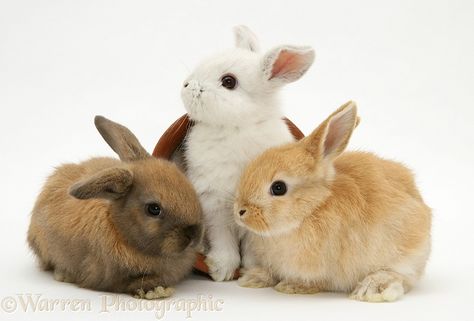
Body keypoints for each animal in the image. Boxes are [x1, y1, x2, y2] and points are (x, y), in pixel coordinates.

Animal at [181, 25, 314, 280]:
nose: (185, 85)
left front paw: (252, 269)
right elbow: (223, 240)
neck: (236, 127)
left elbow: (254, 243)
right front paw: (221, 270)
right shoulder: (214, 205)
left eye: (228, 81)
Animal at [235, 101, 432, 302]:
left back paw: (371, 289)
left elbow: (314, 281)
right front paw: (252, 278)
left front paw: (291, 286)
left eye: (278, 188)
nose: (240, 210)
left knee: (399, 276)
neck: (312, 209)